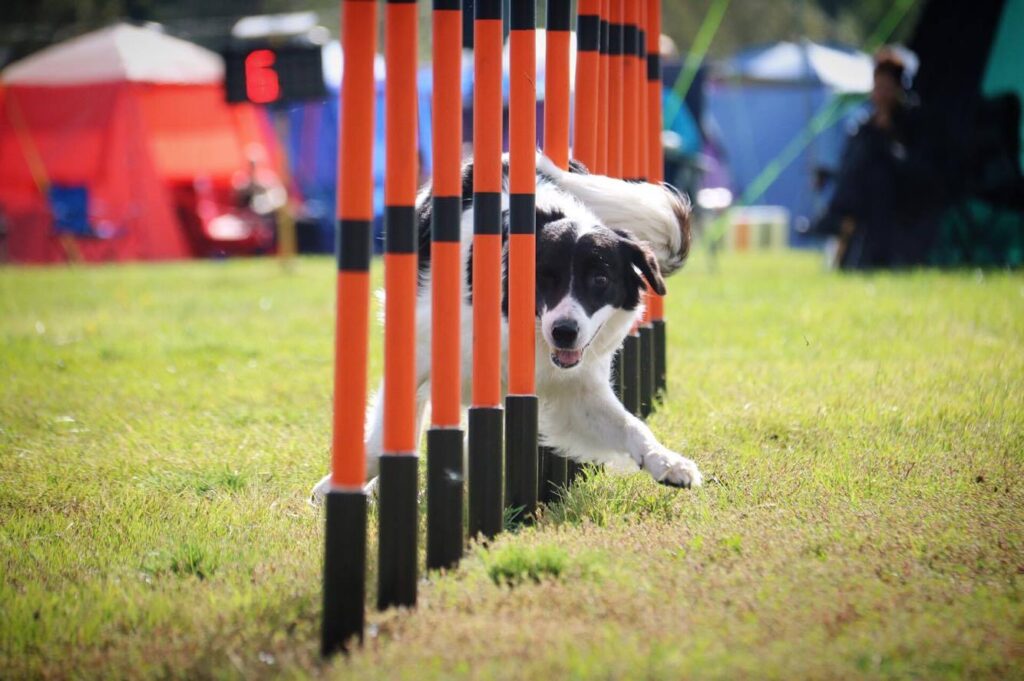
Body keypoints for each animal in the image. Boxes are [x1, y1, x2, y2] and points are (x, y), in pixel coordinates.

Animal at [307, 155, 700, 503]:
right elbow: (384, 433)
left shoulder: (573, 388)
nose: (564, 332)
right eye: (544, 279)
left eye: (600, 280)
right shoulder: (422, 354)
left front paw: (668, 462)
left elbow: (630, 425)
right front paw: (335, 488)